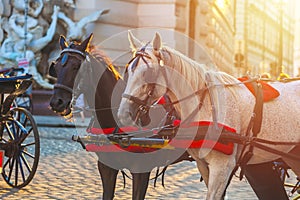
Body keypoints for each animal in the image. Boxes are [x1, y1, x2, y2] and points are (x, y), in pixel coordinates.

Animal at [117, 31, 300, 198]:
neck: (205, 106)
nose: (123, 114)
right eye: (128, 71)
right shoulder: (203, 165)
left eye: (147, 74)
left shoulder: (222, 166)